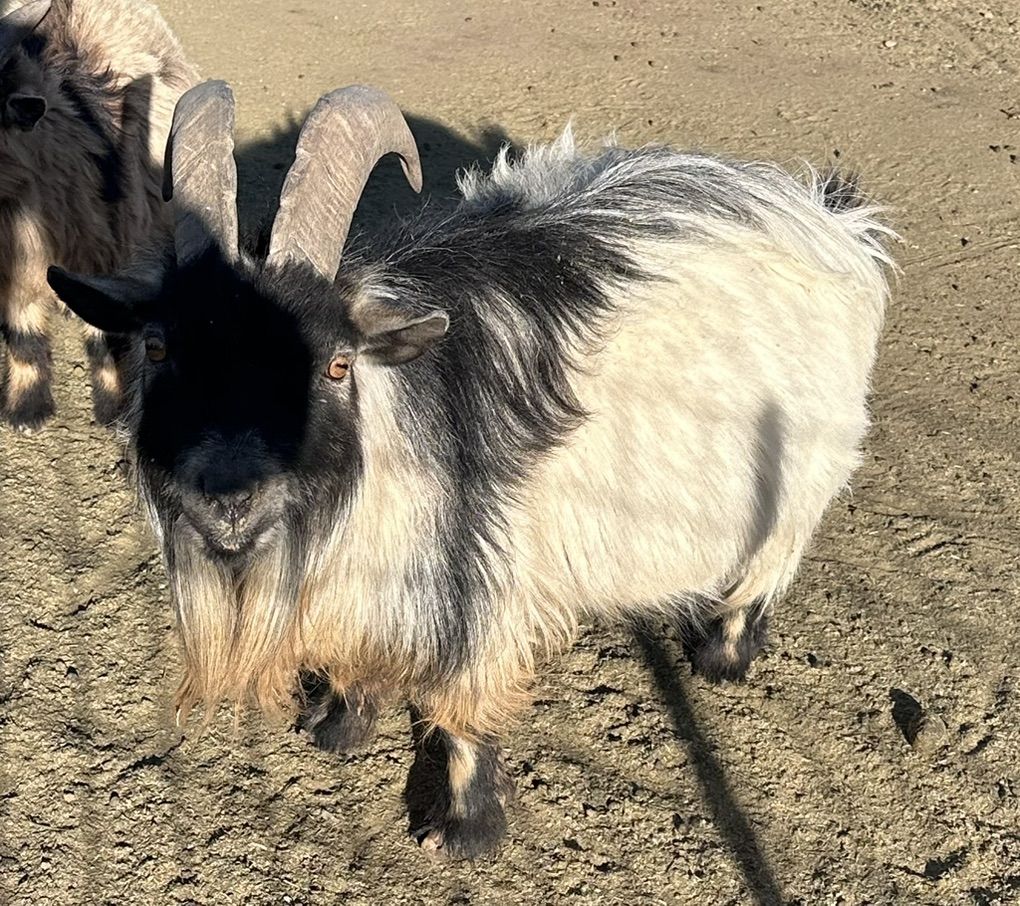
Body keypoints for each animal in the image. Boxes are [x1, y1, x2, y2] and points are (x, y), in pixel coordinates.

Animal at [48, 80, 893, 859]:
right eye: (158, 347)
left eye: (336, 364)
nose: (227, 496)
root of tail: (828, 217)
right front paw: (337, 726)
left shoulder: (485, 579)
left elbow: (462, 710)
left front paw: (464, 832)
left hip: (801, 472)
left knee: (772, 558)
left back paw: (725, 656)